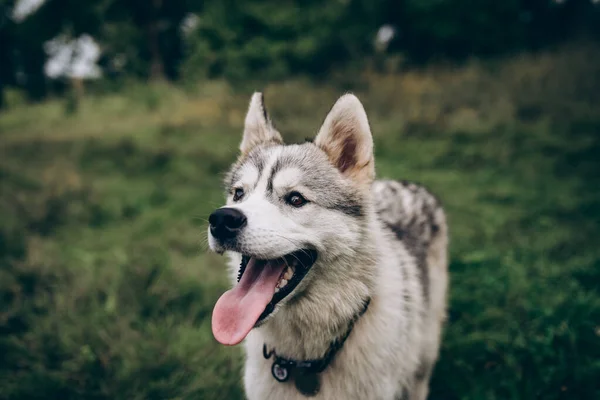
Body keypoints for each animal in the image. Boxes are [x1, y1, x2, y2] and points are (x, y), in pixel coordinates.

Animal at [209, 92, 448, 398]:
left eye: (296, 199)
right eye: (239, 194)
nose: (222, 219)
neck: (305, 360)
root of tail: (409, 184)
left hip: (423, 353)